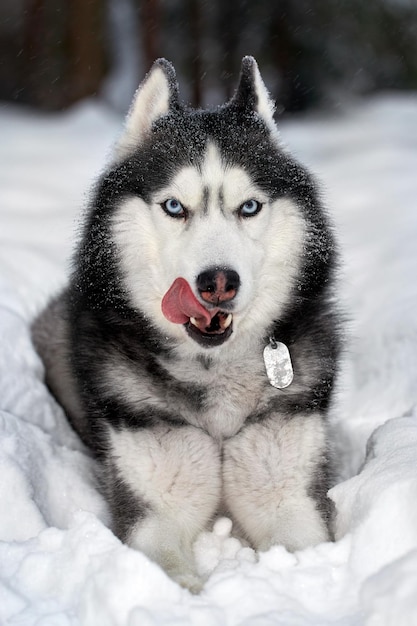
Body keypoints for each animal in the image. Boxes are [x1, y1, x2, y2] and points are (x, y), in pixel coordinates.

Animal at [31, 56, 338, 588]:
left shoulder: (289, 494)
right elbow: (167, 570)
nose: (218, 282)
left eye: (249, 207)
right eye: (175, 206)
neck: (213, 374)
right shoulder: (154, 512)